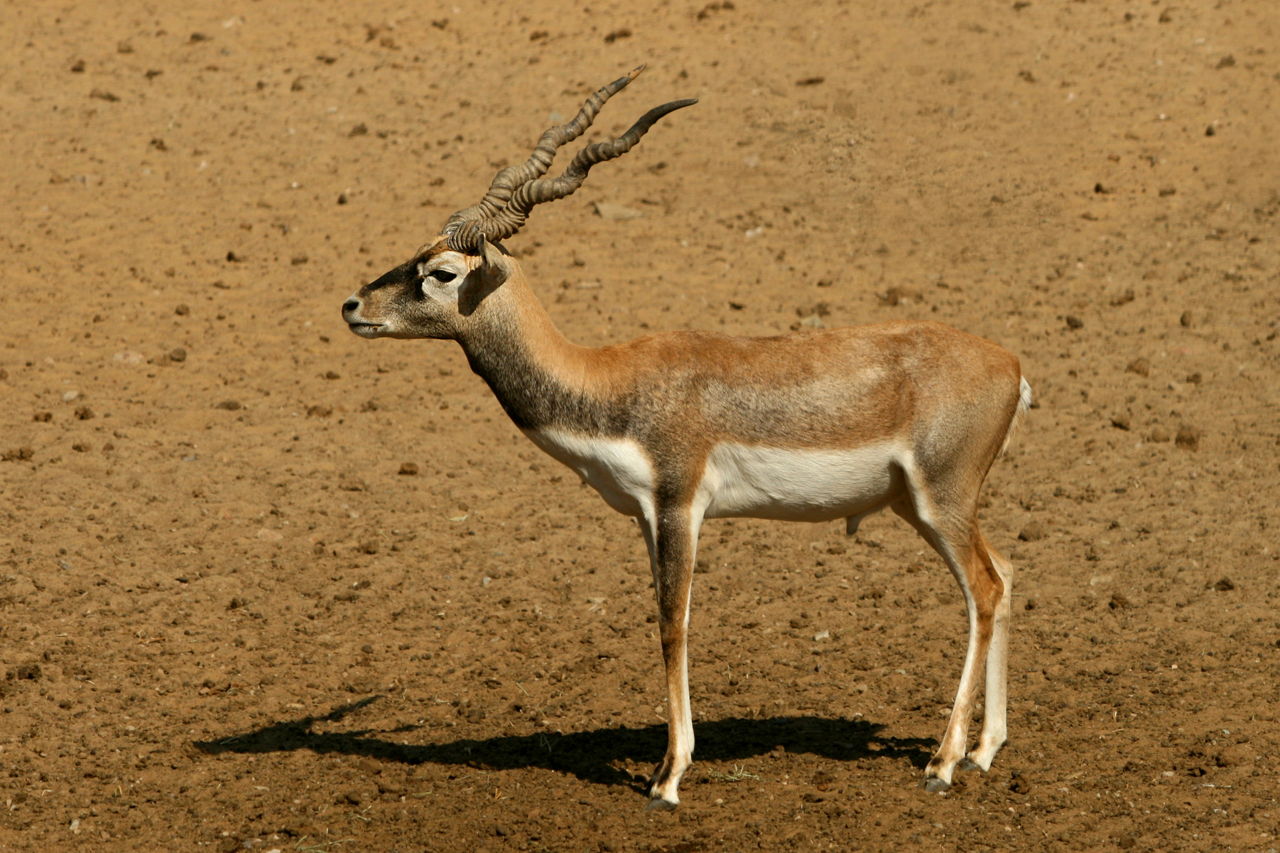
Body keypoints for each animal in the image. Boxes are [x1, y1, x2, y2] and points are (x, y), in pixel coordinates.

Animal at [340, 68, 1029, 804]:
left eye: (441, 272)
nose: (353, 306)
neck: (607, 380)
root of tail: (1010, 364)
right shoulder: (645, 515)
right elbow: (662, 619)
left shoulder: (680, 505)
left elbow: (674, 623)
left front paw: (668, 776)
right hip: (919, 505)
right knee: (1004, 573)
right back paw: (985, 750)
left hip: (939, 500)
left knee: (984, 590)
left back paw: (943, 762)